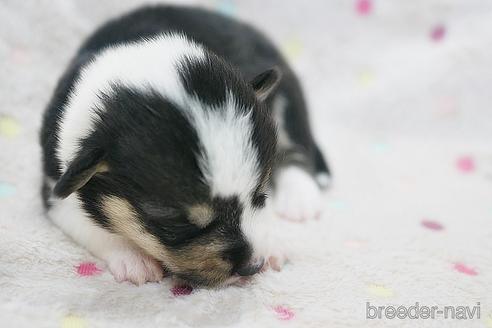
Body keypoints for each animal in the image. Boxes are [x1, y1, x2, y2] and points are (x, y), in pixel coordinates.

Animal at [39, 5, 330, 288]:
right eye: (178, 223)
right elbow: (93, 227)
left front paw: (270, 246)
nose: (252, 267)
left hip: (287, 97)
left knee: (296, 149)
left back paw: (300, 201)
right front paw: (135, 259)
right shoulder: (56, 188)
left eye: (261, 194)